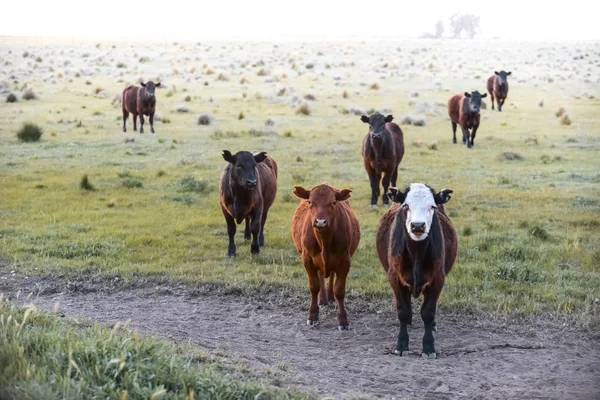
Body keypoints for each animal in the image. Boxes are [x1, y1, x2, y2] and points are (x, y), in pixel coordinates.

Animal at [292, 183, 360, 330]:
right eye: (310, 202)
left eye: (333, 202)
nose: (320, 222)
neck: (324, 240)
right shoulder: (307, 259)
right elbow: (314, 286)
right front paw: (312, 315)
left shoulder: (345, 261)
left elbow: (339, 290)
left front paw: (342, 320)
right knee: (321, 277)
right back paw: (322, 299)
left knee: (331, 275)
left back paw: (329, 296)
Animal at [378, 183, 458, 358]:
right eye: (406, 206)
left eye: (432, 206)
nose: (417, 226)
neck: (416, 252)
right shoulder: (395, 277)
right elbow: (403, 311)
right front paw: (401, 345)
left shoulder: (438, 279)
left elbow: (428, 312)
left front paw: (428, 347)